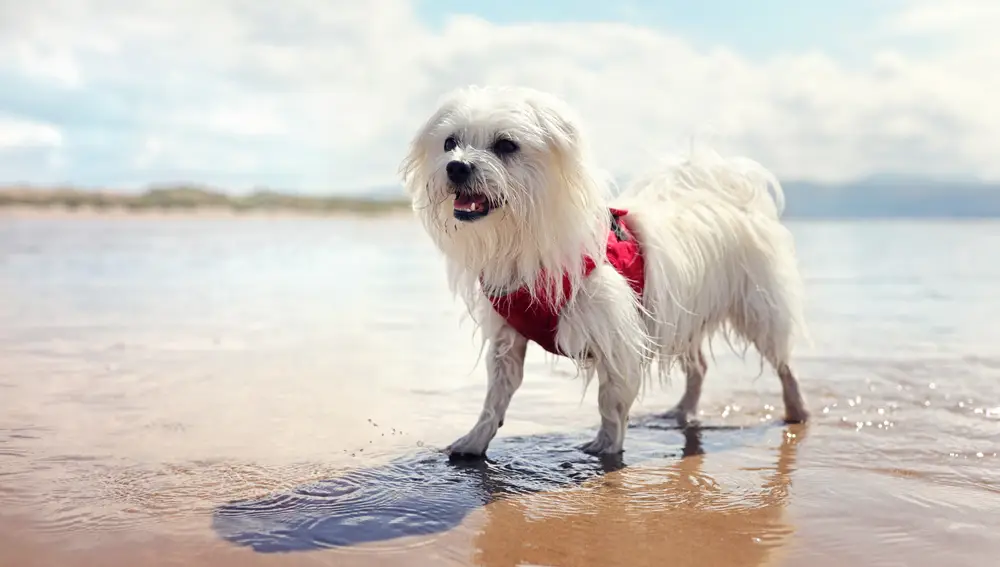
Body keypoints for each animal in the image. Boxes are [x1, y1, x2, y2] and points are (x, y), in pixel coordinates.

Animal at [394, 85, 808, 458]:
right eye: (450, 143)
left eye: (507, 145)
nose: (456, 166)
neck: (526, 243)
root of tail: (729, 197)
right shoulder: (508, 337)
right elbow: (495, 398)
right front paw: (475, 441)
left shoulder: (614, 336)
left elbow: (610, 400)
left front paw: (608, 447)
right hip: (686, 316)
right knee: (700, 366)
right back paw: (683, 411)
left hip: (758, 308)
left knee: (782, 363)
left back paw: (797, 411)